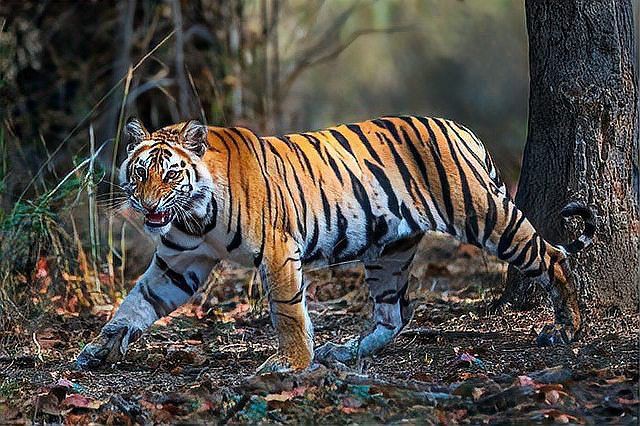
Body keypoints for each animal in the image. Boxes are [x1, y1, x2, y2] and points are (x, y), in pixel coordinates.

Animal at [76, 115, 594, 373]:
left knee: (552, 255)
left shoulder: (277, 248)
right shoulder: (180, 260)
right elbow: (136, 302)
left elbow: (287, 311)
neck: (197, 215)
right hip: (390, 251)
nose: (145, 206)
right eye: (139, 172)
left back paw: (568, 327)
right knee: (394, 314)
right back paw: (343, 352)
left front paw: (290, 364)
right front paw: (98, 349)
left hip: (485, 215)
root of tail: (462, 129)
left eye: (170, 174)